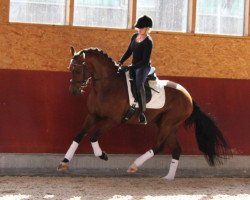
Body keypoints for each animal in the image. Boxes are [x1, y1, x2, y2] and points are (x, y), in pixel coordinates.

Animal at [57, 46, 232, 180]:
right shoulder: (92, 116)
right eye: (69, 69)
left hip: (167, 124)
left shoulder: (113, 120)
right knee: (176, 149)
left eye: (77, 69)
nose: (74, 91)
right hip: (168, 125)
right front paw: (64, 162)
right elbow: (79, 136)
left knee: (159, 146)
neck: (106, 86)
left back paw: (135, 166)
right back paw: (168, 177)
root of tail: (188, 96)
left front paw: (103, 155)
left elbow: (93, 137)